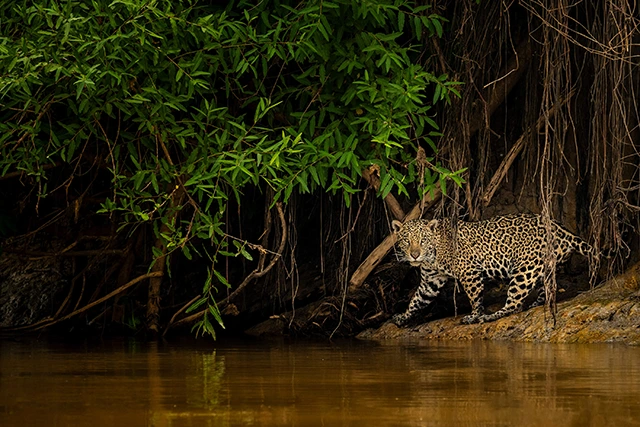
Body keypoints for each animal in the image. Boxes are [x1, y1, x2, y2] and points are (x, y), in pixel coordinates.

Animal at [391, 214, 597, 326]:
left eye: (423, 240)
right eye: (406, 241)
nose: (415, 255)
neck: (433, 256)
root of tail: (562, 230)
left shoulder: (469, 272)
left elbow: (475, 298)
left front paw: (474, 316)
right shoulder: (431, 281)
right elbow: (417, 300)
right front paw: (403, 317)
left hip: (524, 272)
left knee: (514, 304)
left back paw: (490, 316)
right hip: (539, 269)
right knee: (547, 288)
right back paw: (536, 304)